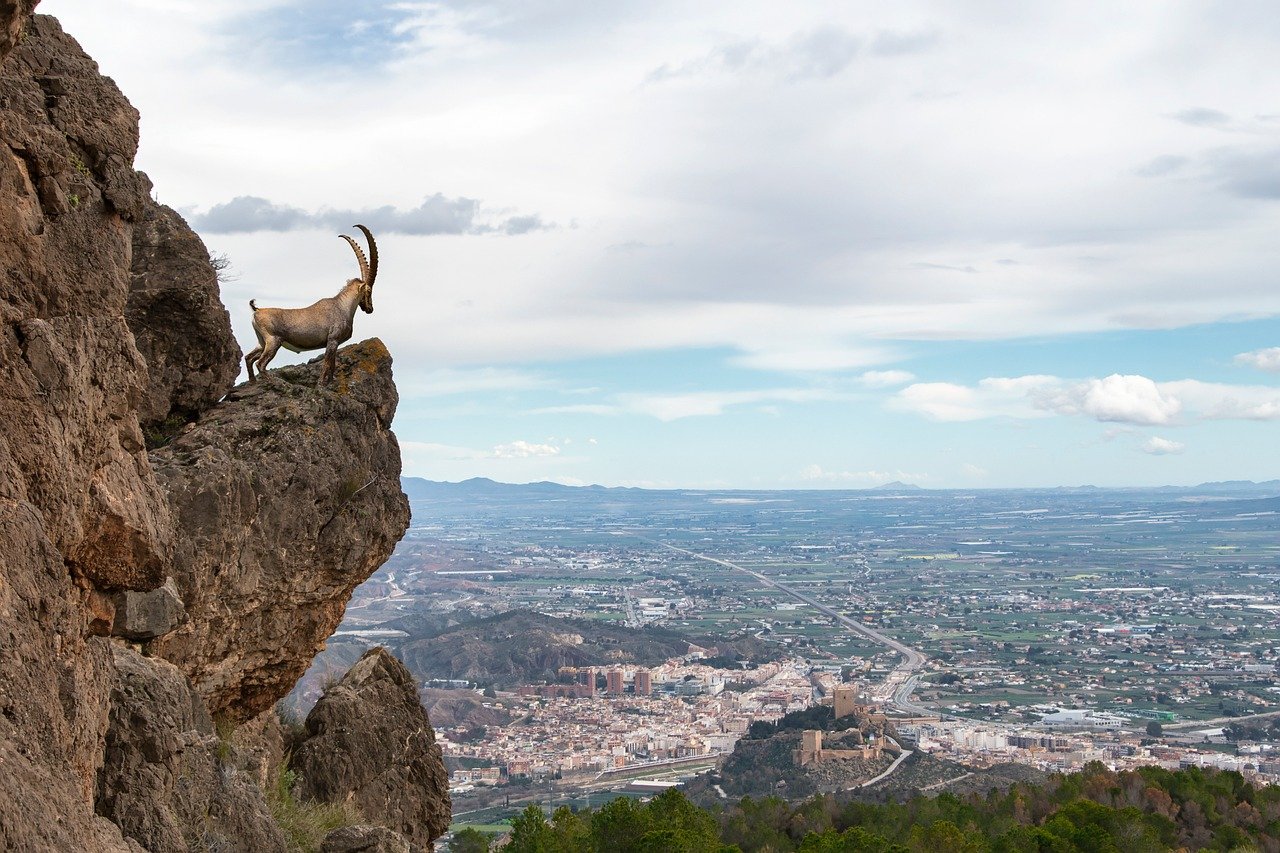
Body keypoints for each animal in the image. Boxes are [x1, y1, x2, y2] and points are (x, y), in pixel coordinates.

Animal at [245, 224, 379, 386]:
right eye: (369, 290)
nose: (370, 309)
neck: (342, 306)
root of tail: (256, 310)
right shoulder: (332, 340)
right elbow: (327, 364)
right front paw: (322, 384)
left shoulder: (334, 343)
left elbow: (332, 365)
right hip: (273, 340)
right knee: (260, 363)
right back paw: (275, 382)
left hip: (261, 341)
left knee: (248, 358)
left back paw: (253, 382)